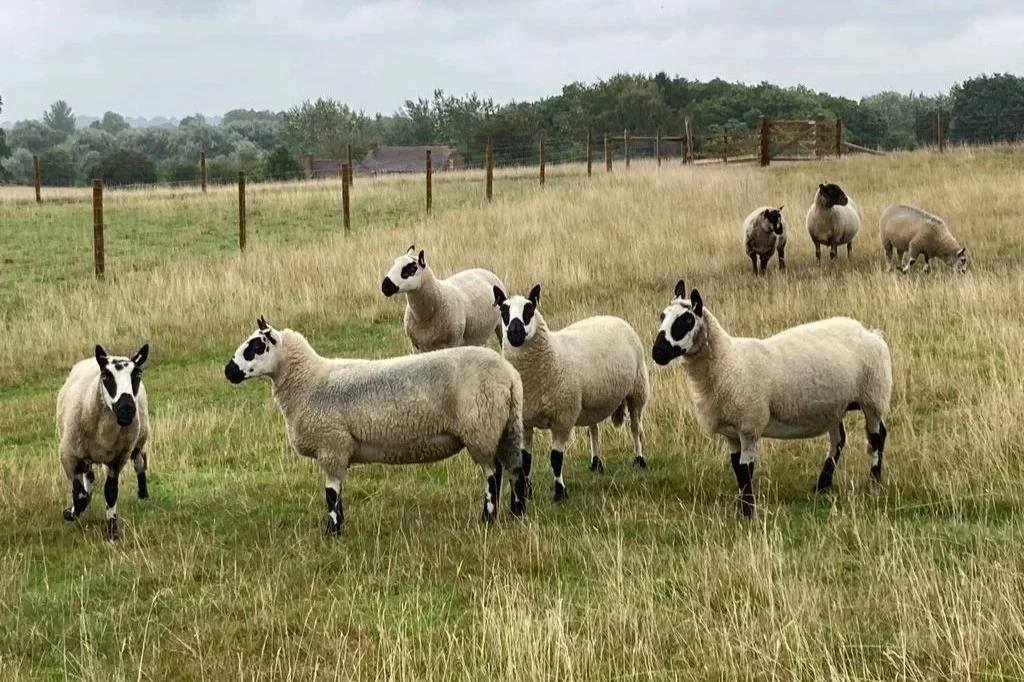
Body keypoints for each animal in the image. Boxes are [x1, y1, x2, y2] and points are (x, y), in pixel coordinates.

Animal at [56, 344, 151, 540]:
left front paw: (112, 531)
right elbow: (79, 495)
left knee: (140, 461)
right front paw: (71, 512)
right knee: (89, 478)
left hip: (138, 439)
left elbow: (111, 492)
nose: (126, 409)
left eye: (137, 374)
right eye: (106, 376)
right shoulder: (69, 456)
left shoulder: (119, 458)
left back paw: (143, 494)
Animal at [223, 316, 529, 533]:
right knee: (515, 468)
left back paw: (487, 518)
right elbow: (337, 494)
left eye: (255, 347)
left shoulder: (333, 445)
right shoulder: (336, 448)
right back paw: (516, 512)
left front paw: (332, 531)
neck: (308, 381)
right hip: (506, 425)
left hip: (481, 427)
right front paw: (337, 526)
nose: (228, 371)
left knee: (493, 473)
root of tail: (510, 376)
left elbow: (331, 494)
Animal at [491, 284, 649, 502]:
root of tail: (613, 317)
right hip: (592, 400)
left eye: (529, 309)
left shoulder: (562, 419)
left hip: (637, 390)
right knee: (594, 429)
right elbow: (526, 460)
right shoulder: (525, 421)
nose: (515, 332)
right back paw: (596, 463)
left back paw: (639, 460)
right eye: (504, 311)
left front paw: (560, 492)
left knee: (635, 428)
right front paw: (527, 493)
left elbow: (556, 458)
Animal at [650, 280, 892, 518]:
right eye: (662, 316)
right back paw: (822, 485)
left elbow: (746, 469)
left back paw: (873, 481)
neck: (729, 361)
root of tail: (869, 332)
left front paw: (748, 511)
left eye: (687, 320)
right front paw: (743, 507)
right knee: (838, 440)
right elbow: (737, 469)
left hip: (873, 396)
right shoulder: (731, 432)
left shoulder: (749, 425)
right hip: (836, 406)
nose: (657, 353)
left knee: (877, 436)